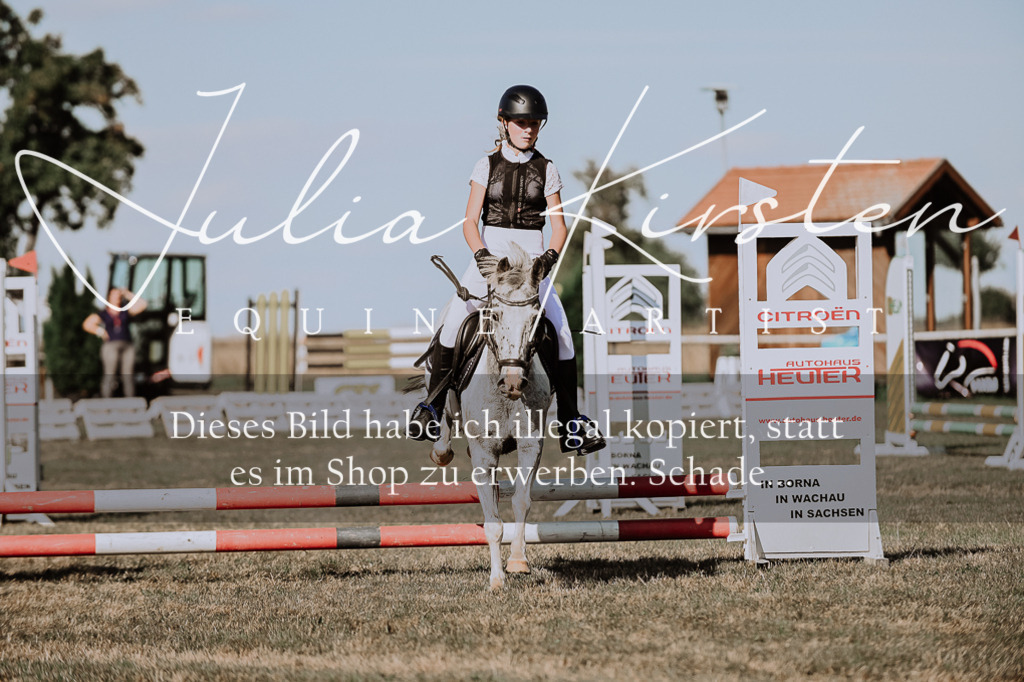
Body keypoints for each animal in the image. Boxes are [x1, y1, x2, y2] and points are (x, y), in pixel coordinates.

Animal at [429, 244, 553, 590]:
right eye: (495, 316)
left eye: (535, 320)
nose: (513, 383)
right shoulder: (485, 452)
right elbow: (493, 523)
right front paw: (497, 580)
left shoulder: (531, 445)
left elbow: (521, 501)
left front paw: (518, 561)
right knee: (444, 428)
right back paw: (440, 449)